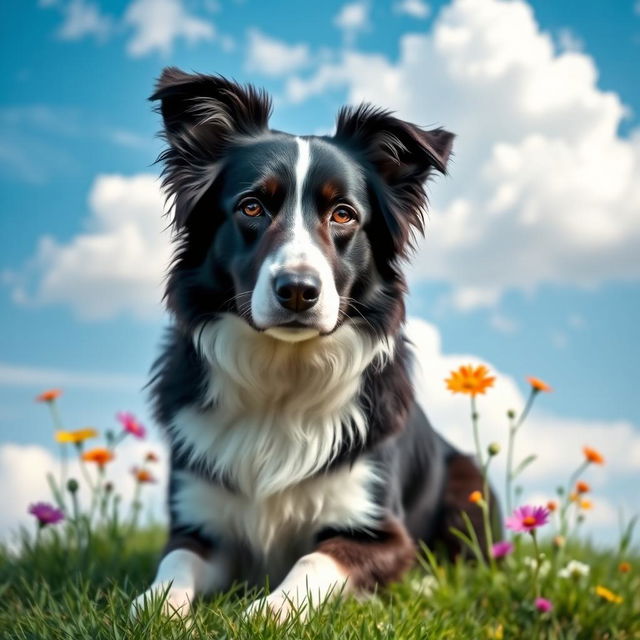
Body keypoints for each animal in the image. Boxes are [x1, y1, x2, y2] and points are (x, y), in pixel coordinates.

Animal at [134, 66, 496, 620]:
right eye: (252, 207)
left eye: (343, 214)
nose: (299, 291)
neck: (284, 372)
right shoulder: (199, 521)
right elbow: (173, 568)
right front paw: (155, 608)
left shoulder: (378, 530)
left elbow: (313, 562)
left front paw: (260, 614)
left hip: (470, 480)